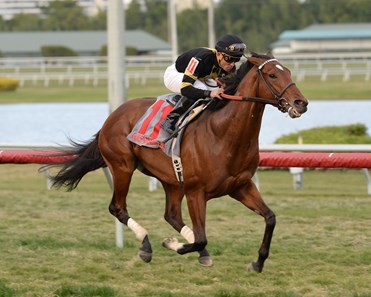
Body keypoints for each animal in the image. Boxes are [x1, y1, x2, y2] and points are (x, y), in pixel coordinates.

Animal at [48, 52, 308, 272]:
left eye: (289, 72)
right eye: (273, 75)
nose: (301, 103)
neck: (223, 134)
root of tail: (112, 116)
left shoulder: (241, 186)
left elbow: (270, 218)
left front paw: (258, 262)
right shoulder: (196, 192)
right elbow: (201, 237)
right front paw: (172, 244)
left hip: (171, 179)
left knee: (171, 214)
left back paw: (198, 251)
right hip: (123, 167)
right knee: (118, 207)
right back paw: (146, 245)